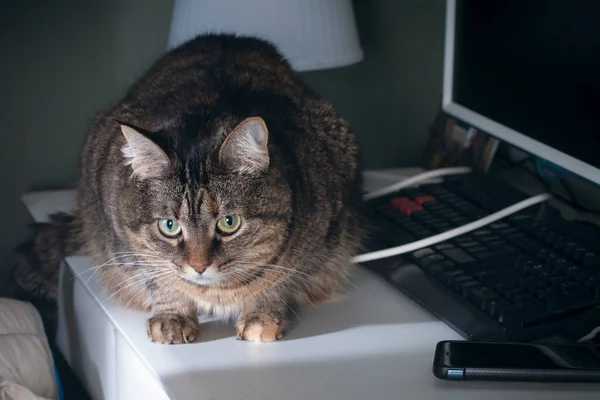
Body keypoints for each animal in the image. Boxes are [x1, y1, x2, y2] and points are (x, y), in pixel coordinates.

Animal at [77, 33, 364, 344]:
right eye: (169, 226)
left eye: (229, 222)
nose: (199, 267)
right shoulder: (124, 238)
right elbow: (158, 276)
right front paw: (172, 316)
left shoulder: (319, 238)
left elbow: (280, 278)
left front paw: (262, 315)